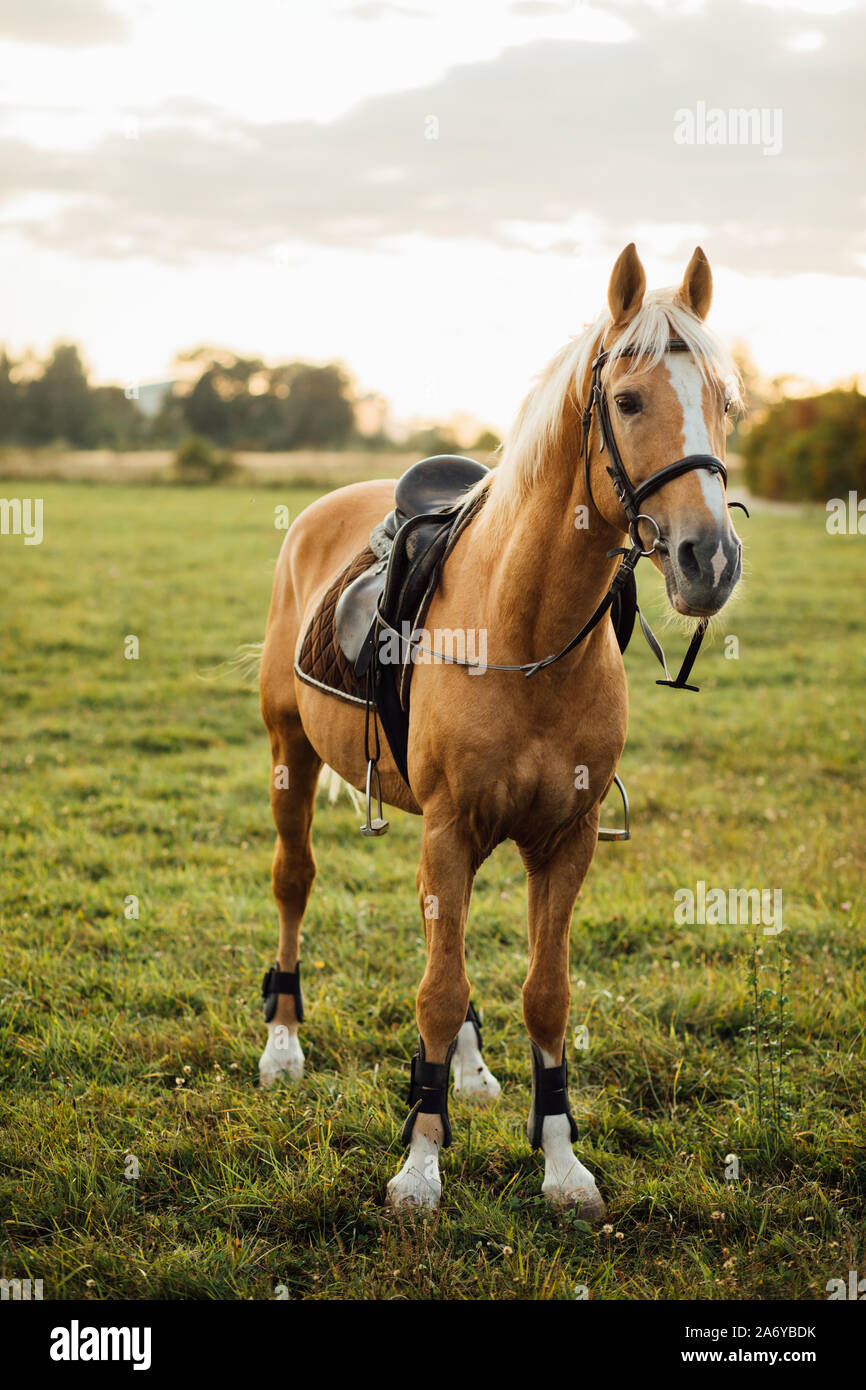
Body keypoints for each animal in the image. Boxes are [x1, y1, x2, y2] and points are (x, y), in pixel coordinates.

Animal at [256, 243, 743, 1216]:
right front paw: (420, 1164)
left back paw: (471, 1072)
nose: (708, 559)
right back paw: (283, 1044)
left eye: (726, 401)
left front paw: (560, 1162)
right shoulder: (450, 827)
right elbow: (437, 994)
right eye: (628, 401)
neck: (525, 628)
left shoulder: (563, 838)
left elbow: (541, 994)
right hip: (291, 754)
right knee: (295, 884)